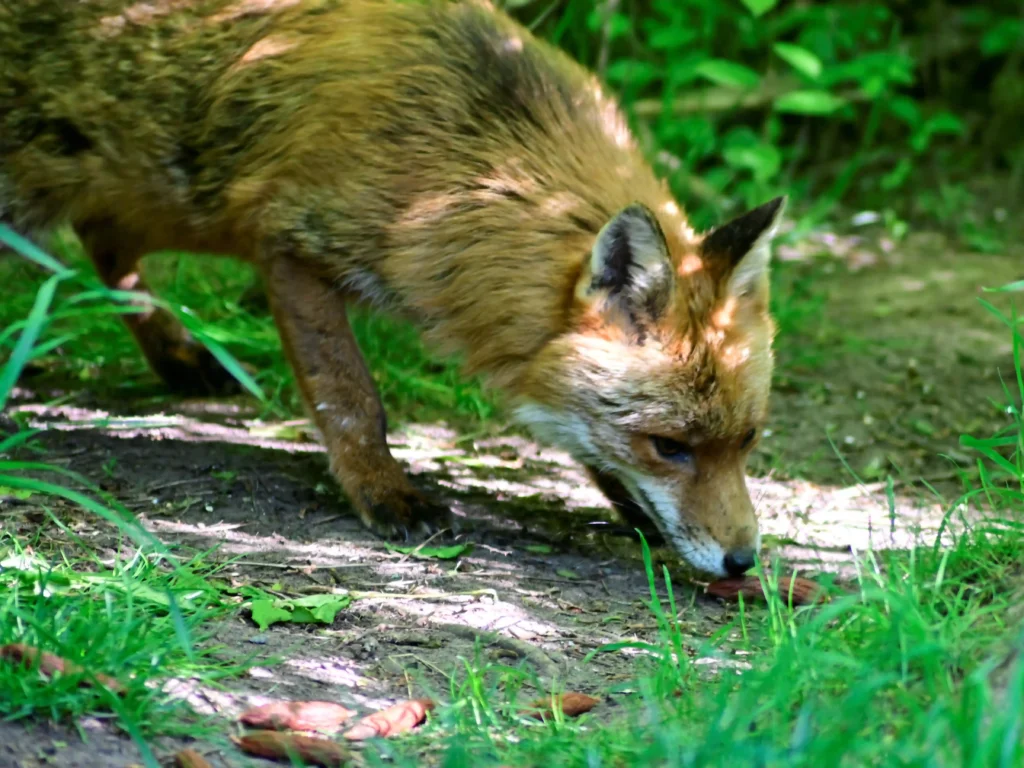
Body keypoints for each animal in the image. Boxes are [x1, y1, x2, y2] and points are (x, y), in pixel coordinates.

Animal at [0, 0, 785, 578]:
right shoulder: (291, 244)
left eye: (747, 442)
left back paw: (176, 353)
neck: (466, 157)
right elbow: (352, 397)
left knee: (104, 237)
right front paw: (383, 491)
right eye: (668, 446)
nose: (743, 560)